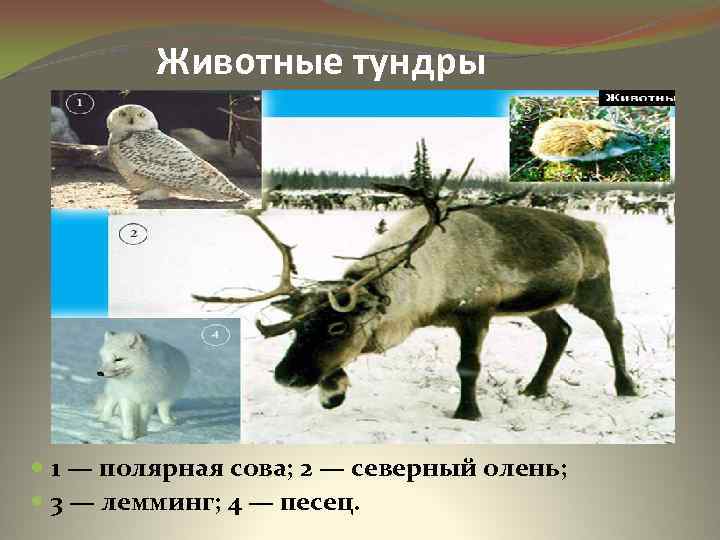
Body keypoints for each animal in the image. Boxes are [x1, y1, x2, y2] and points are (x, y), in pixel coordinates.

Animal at [193, 160, 637, 421]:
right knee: (560, 331)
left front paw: (467, 413)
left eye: (337, 327)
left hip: (594, 287)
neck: (422, 296)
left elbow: (467, 367)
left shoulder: (476, 311)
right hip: (536, 304)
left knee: (613, 327)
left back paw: (625, 387)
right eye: (299, 327)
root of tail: (594, 227)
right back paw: (535, 388)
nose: (286, 376)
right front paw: (333, 391)